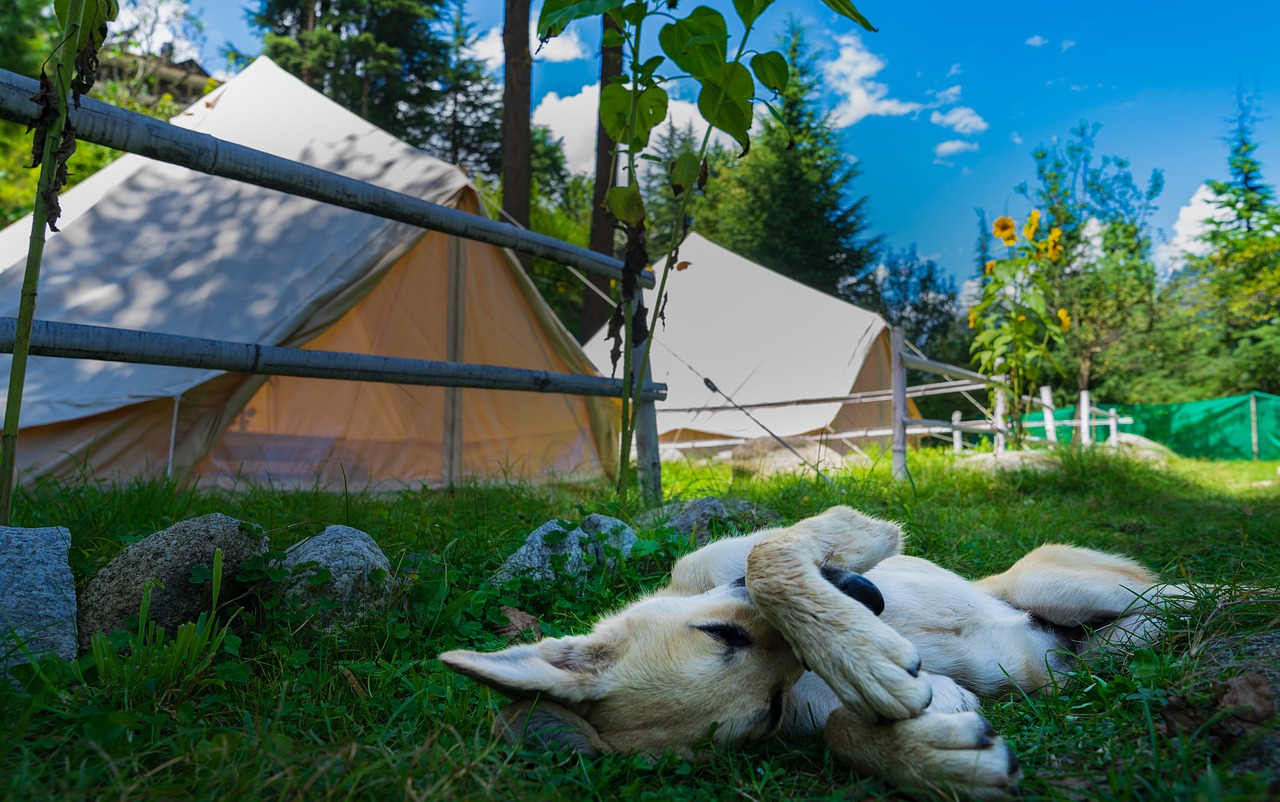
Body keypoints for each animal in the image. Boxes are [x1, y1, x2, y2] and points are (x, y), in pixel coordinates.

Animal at [440, 503, 1177, 798]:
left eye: (721, 632)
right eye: (768, 708)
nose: (864, 597)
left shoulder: (823, 533)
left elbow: (768, 557)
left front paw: (866, 658)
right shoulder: (811, 719)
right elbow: (845, 732)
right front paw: (934, 758)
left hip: (1063, 585)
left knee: (1192, 594)